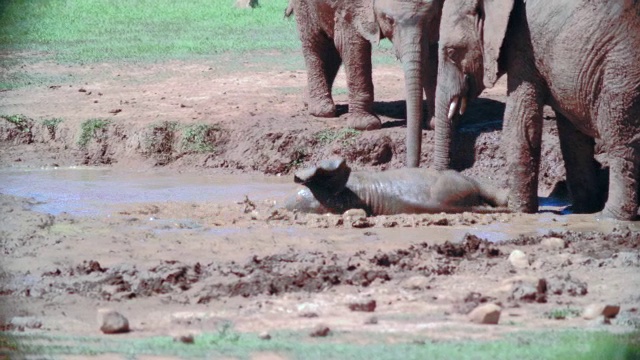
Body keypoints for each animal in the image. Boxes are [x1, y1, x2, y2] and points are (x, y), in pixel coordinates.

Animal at [286, 0, 444, 167]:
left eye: (432, 19)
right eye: (389, 19)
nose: (412, 165)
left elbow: (432, 53)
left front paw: (437, 122)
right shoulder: (352, 7)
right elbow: (352, 43)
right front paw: (366, 125)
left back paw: (307, 101)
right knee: (314, 42)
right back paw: (322, 110)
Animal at [432, 0, 636, 221]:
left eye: (452, 53)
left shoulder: (524, 43)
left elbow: (519, 123)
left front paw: (517, 210)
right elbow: (571, 137)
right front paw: (580, 209)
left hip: (621, 71)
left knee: (619, 138)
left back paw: (610, 216)